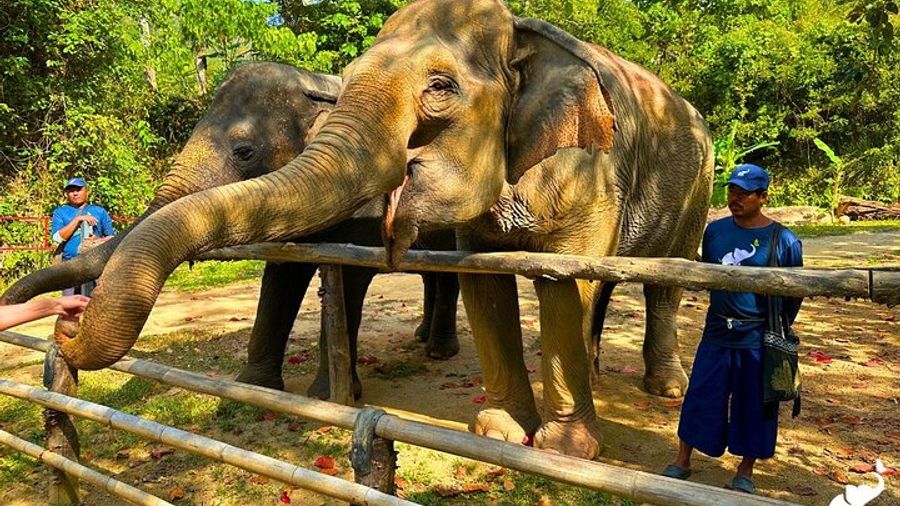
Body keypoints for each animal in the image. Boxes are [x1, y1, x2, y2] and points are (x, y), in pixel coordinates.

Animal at [0, 61, 459, 398]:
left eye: (244, 152)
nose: (66, 324)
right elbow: (281, 276)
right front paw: (254, 388)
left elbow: (349, 278)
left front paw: (327, 396)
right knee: (432, 275)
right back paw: (423, 339)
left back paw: (440, 352)